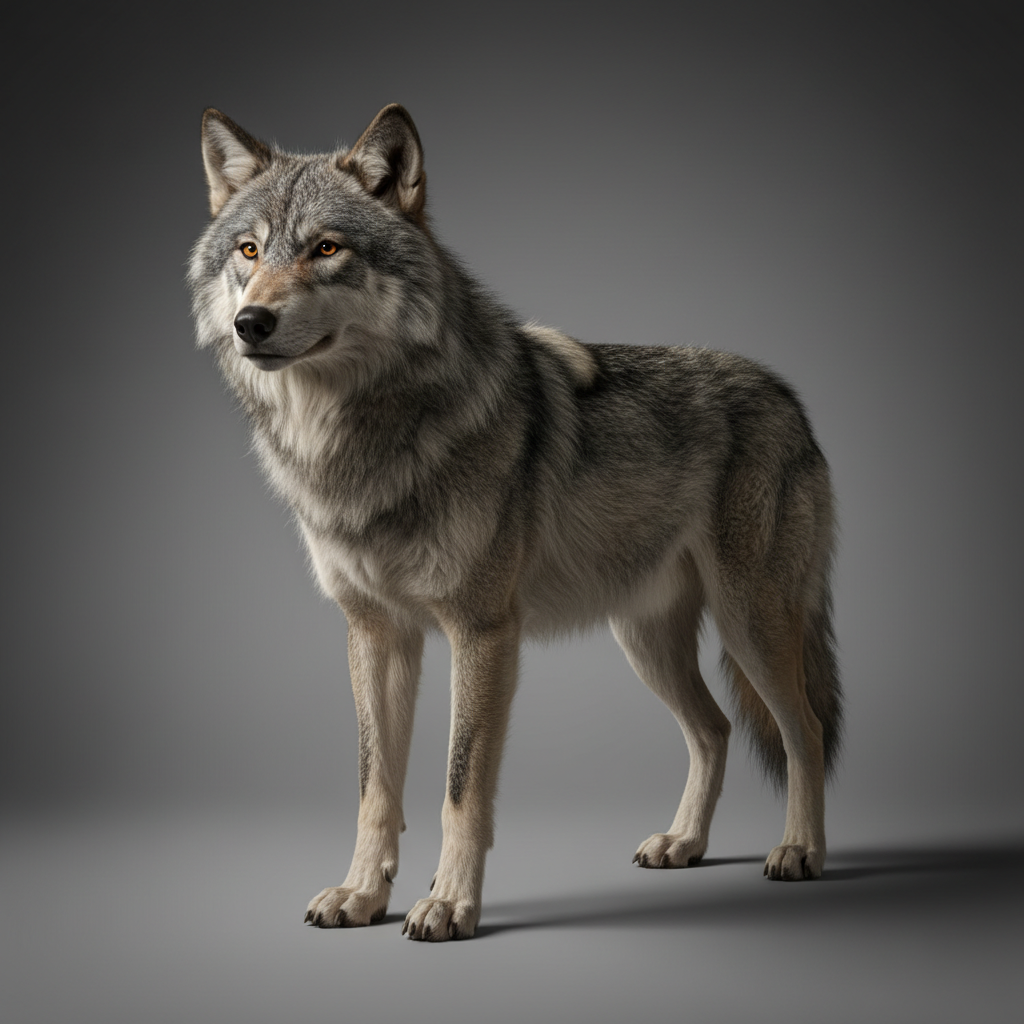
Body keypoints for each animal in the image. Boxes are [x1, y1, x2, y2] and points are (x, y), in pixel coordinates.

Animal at [189, 104, 842, 942]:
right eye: (249, 250)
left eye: (325, 248)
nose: (252, 322)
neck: (358, 443)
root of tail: (789, 395)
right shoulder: (375, 633)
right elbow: (376, 786)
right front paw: (362, 895)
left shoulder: (482, 631)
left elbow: (460, 785)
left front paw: (449, 904)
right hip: (646, 642)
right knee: (716, 729)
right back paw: (683, 843)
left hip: (750, 624)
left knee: (804, 732)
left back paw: (800, 850)